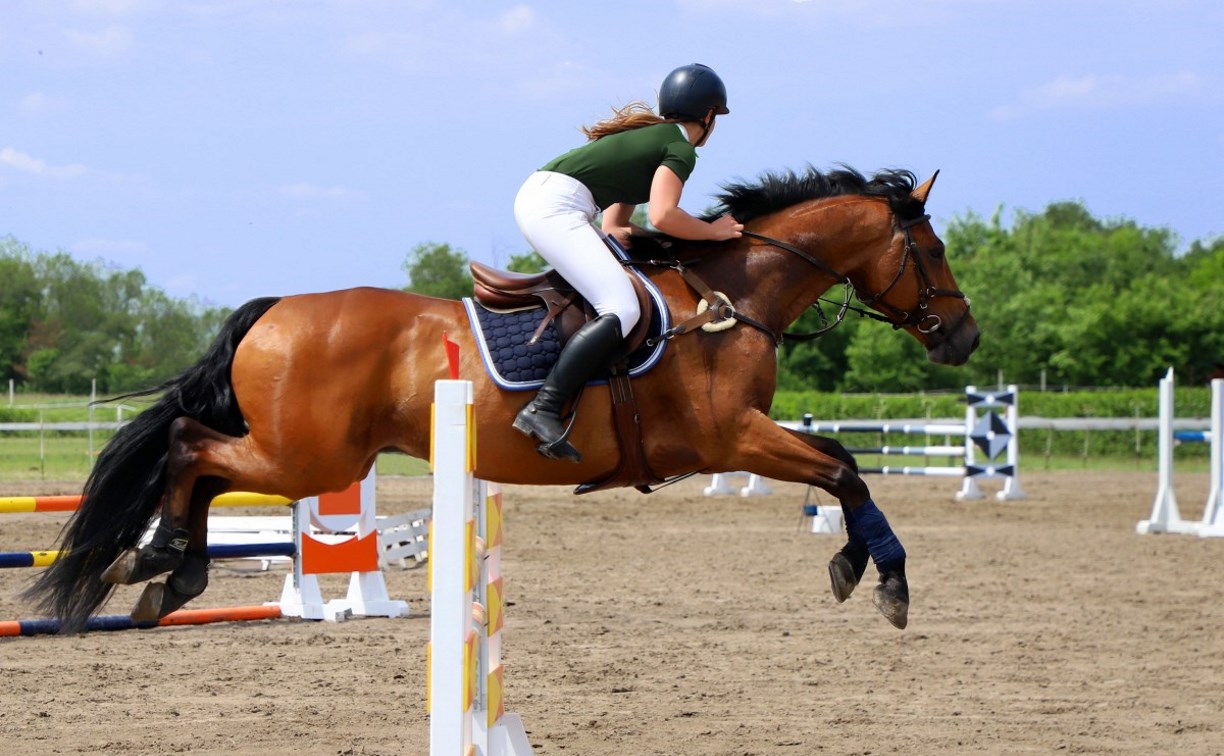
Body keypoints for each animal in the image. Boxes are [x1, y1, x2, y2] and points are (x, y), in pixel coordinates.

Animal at [26, 165, 974, 631]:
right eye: (931, 250)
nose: (963, 338)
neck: (731, 295)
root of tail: (278, 309)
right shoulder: (731, 438)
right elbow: (844, 469)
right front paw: (885, 580)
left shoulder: (744, 437)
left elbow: (841, 463)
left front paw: (854, 566)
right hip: (309, 455)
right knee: (190, 445)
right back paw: (157, 561)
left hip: (310, 453)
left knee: (201, 459)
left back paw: (169, 573)